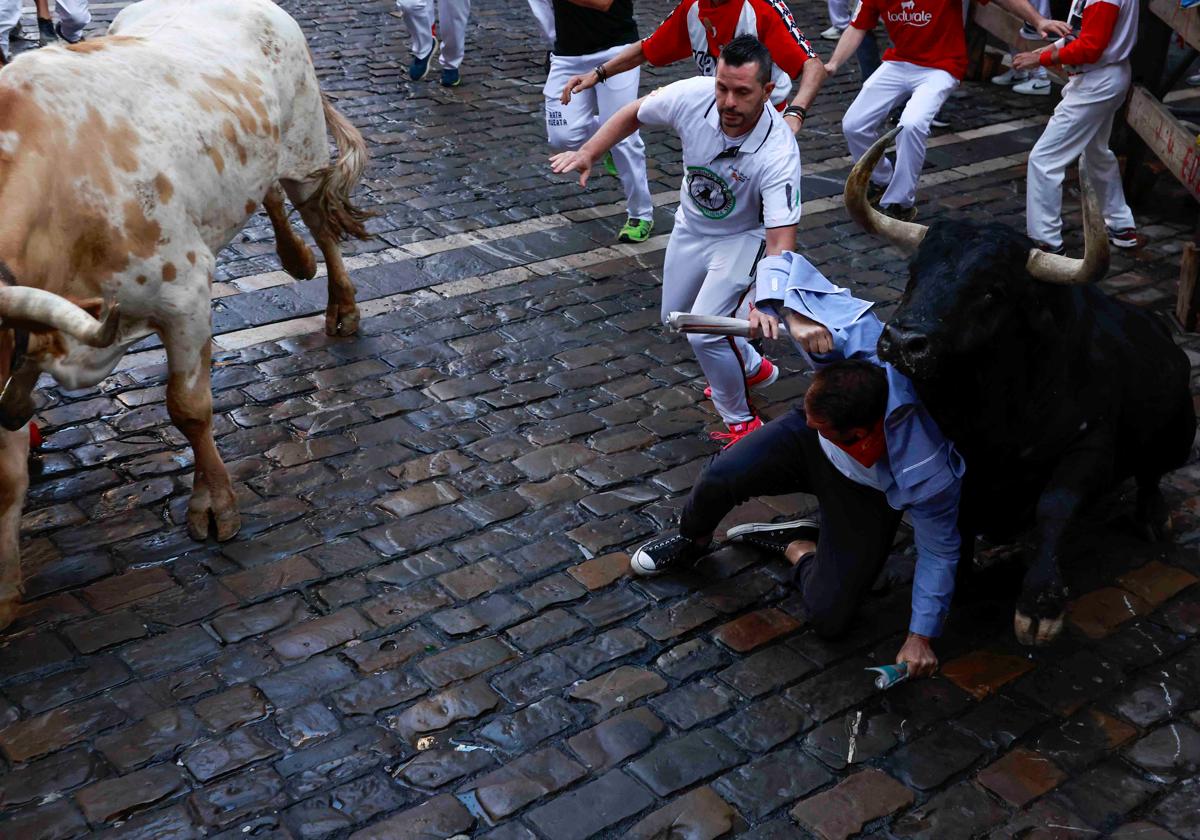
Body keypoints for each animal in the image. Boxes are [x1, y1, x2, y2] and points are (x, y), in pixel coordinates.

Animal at [0, 0, 369, 628]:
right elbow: (7, 476)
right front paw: (2, 594)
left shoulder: (186, 292)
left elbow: (188, 409)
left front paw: (214, 504)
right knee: (268, 193)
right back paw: (293, 260)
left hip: (304, 151)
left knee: (318, 217)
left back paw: (339, 303)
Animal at [844, 127, 1190, 648]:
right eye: (913, 275)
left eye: (993, 290)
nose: (904, 342)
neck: (991, 415)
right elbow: (961, 518)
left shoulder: (1091, 447)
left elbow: (1053, 507)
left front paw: (1040, 605)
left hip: (1178, 436)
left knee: (1152, 474)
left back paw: (1153, 517)